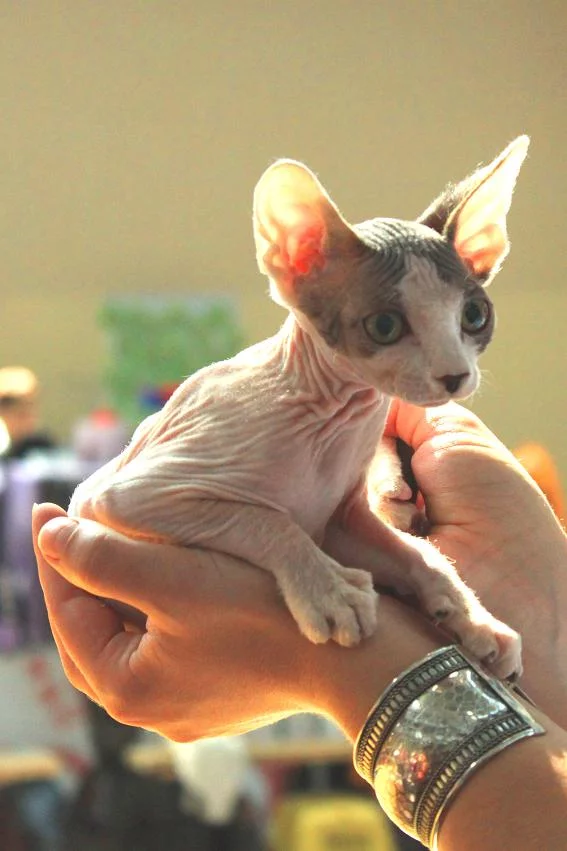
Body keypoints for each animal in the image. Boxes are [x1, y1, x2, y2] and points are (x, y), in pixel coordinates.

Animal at [69, 136, 529, 680]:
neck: (334, 417)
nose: (455, 375)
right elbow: (266, 519)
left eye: (475, 316)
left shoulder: (338, 521)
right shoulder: (125, 495)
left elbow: (423, 558)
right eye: (385, 326)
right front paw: (330, 592)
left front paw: (474, 617)